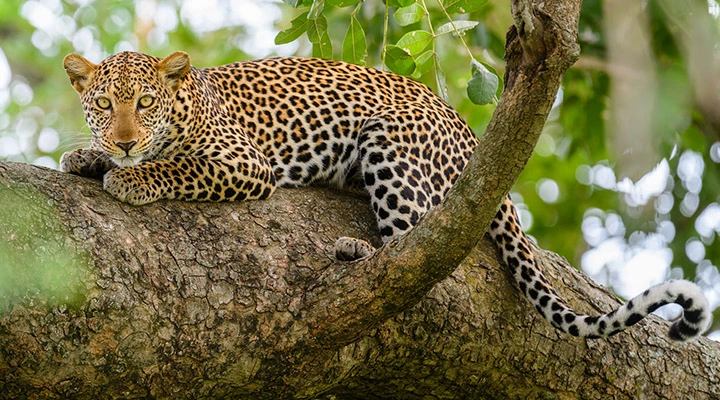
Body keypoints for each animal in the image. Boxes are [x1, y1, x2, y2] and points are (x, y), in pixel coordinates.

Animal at [60, 51, 708, 342]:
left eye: (145, 103)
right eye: (103, 104)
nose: (122, 140)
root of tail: (474, 137)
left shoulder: (244, 163)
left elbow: (177, 165)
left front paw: (131, 175)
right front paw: (87, 157)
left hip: (392, 151)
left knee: (420, 257)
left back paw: (359, 252)